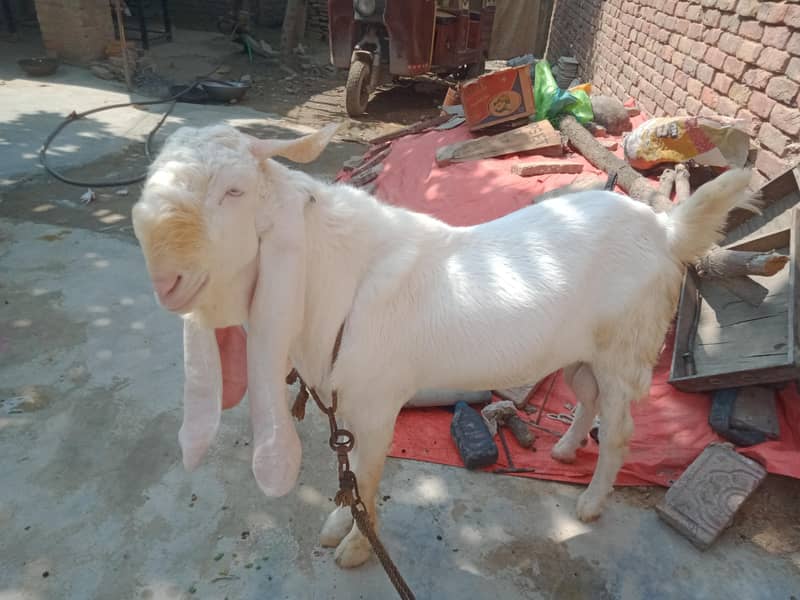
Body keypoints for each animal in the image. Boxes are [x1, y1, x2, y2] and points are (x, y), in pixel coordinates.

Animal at [132, 123, 757, 568]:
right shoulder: (348, 396)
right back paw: (563, 451)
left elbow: (367, 475)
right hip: (580, 351)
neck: (330, 275)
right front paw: (338, 524)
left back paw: (591, 502)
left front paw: (356, 549)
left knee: (622, 425)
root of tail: (666, 231)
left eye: (233, 191)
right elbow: (348, 471)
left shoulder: (378, 404)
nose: (165, 282)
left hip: (627, 347)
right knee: (589, 397)